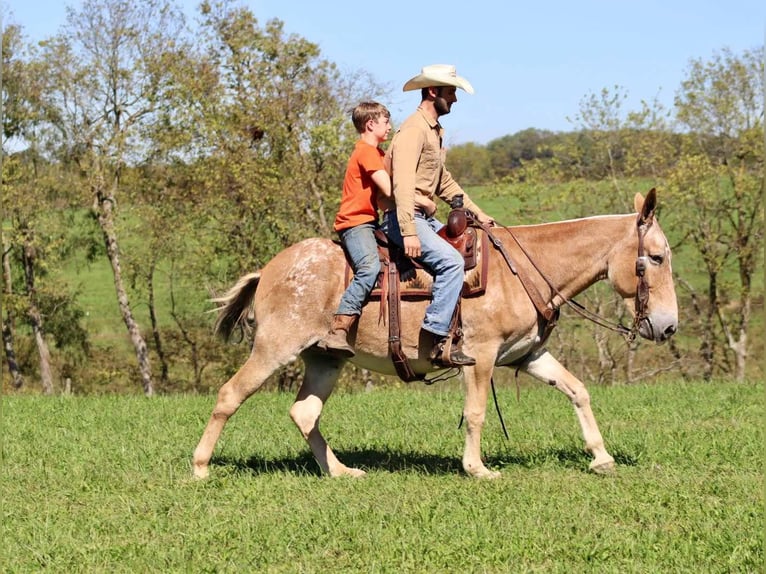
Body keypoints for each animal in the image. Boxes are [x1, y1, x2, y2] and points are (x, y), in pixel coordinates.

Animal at [192, 190, 680, 482]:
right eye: (656, 257)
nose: (669, 325)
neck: (523, 267)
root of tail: (269, 269)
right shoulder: (480, 356)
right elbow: (476, 412)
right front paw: (477, 469)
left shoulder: (527, 355)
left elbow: (578, 391)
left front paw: (601, 457)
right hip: (274, 349)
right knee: (230, 396)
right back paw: (200, 468)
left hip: (325, 359)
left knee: (305, 414)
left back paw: (341, 471)